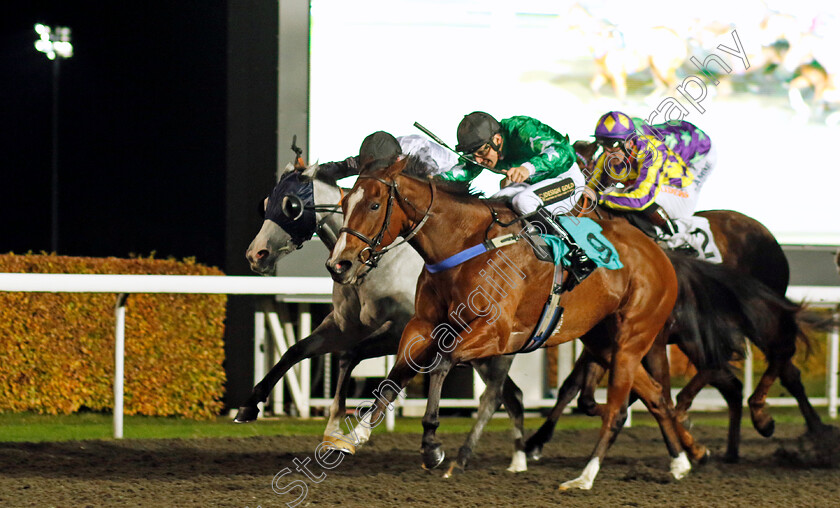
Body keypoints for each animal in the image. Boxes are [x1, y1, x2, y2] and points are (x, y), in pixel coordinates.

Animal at [236, 163, 528, 472]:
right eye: (265, 203)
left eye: (290, 205)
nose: (256, 254)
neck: (380, 263)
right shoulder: (344, 325)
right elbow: (301, 350)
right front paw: (252, 405)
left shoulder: (404, 330)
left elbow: (359, 358)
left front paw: (349, 431)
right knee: (513, 396)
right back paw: (521, 457)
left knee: (501, 395)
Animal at [324, 160, 720, 492]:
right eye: (344, 203)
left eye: (374, 205)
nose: (338, 264)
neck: (464, 244)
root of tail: (660, 254)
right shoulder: (424, 325)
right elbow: (397, 374)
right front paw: (354, 434)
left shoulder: (495, 334)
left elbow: (442, 363)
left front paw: (432, 445)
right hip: (604, 341)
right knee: (655, 395)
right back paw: (680, 462)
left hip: (632, 337)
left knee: (618, 410)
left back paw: (585, 477)